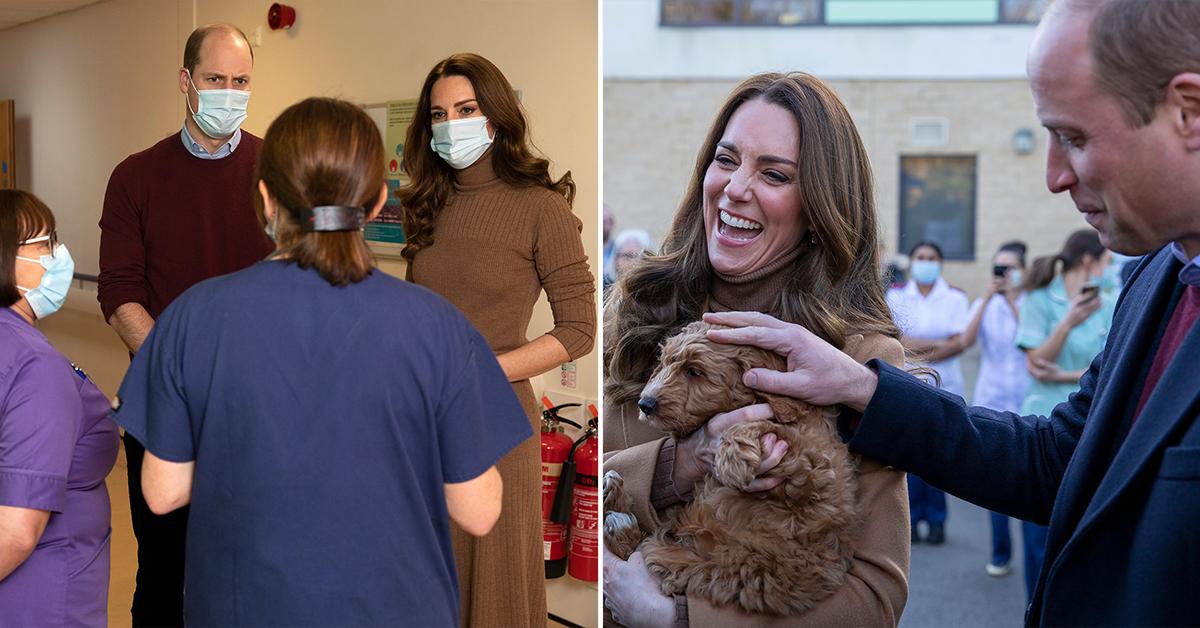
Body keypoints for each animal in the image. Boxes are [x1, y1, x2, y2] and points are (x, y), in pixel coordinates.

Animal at [604, 321, 859, 614]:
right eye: (665, 363)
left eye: (694, 371)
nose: (645, 404)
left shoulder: (815, 468)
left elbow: (774, 429)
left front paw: (733, 457)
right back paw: (614, 497)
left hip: (709, 566)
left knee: (652, 556)